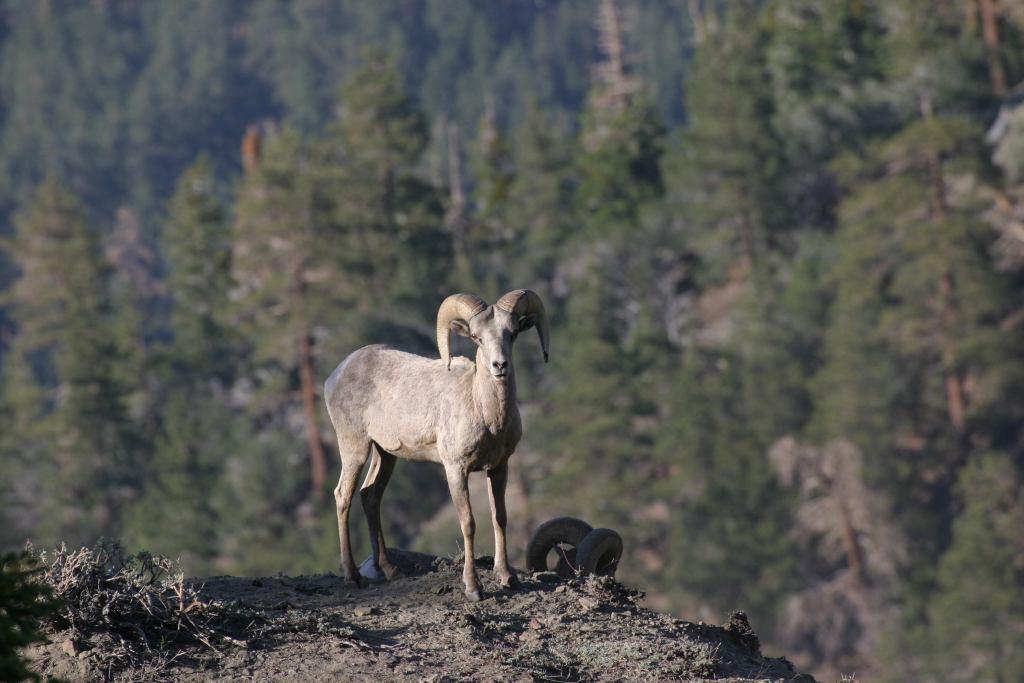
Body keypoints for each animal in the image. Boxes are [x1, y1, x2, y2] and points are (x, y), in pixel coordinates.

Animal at [324, 289, 549, 601]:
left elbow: (499, 518)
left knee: (370, 496)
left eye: (513, 333)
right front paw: (473, 588)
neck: (486, 413)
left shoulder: (499, 467)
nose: (500, 366)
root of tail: (334, 375)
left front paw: (508, 578)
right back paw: (352, 577)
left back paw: (391, 571)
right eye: (476, 337)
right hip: (355, 447)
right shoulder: (456, 469)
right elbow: (468, 523)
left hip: (385, 454)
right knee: (343, 496)